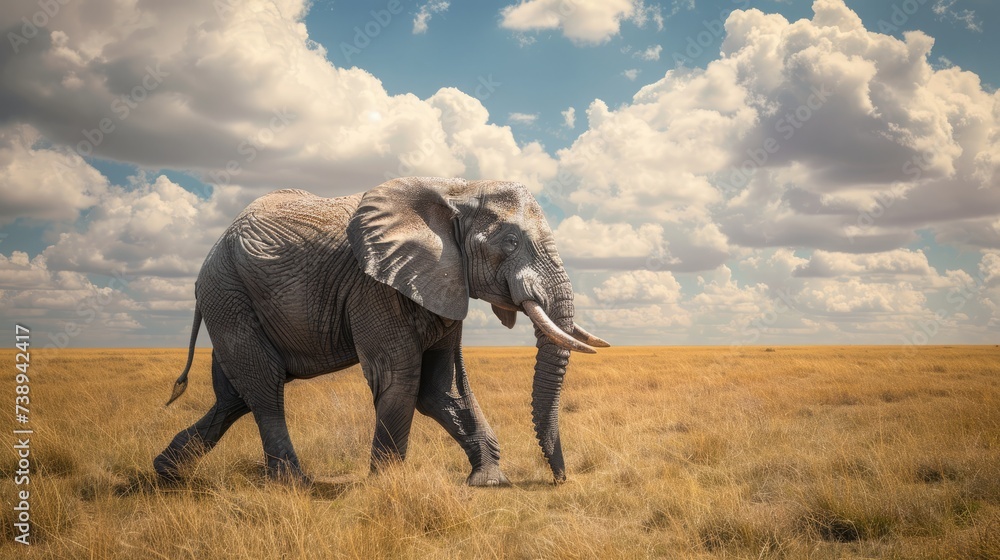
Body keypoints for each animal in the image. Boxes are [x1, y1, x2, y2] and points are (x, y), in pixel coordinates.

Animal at [154, 177, 609, 487]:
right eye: (511, 241)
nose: (558, 480)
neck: (457, 189)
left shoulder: (444, 282)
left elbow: (441, 388)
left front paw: (488, 481)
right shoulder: (372, 284)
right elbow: (399, 377)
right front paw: (386, 485)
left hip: (230, 301)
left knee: (235, 396)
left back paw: (166, 473)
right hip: (227, 295)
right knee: (264, 388)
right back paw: (294, 484)